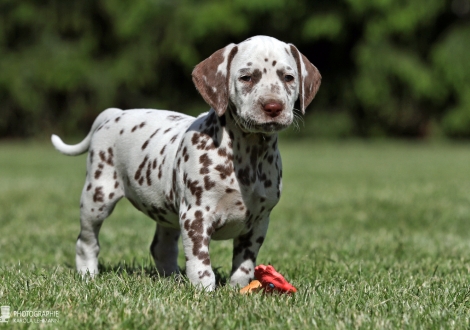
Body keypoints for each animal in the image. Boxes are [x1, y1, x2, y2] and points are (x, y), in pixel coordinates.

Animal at [52, 34, 324, 290]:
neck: (248, 155)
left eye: (288, 77)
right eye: (247, 77)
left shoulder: (258, 222)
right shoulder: (195, 216)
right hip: (97, 197)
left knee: (161, 248)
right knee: (86, 241)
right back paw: (88, 274)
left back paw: (172, 279)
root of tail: (114, 113)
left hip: (166, 211)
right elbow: (200, 262)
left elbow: (244, 265)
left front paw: (238, 289)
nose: (273, 107)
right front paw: (204, 290)